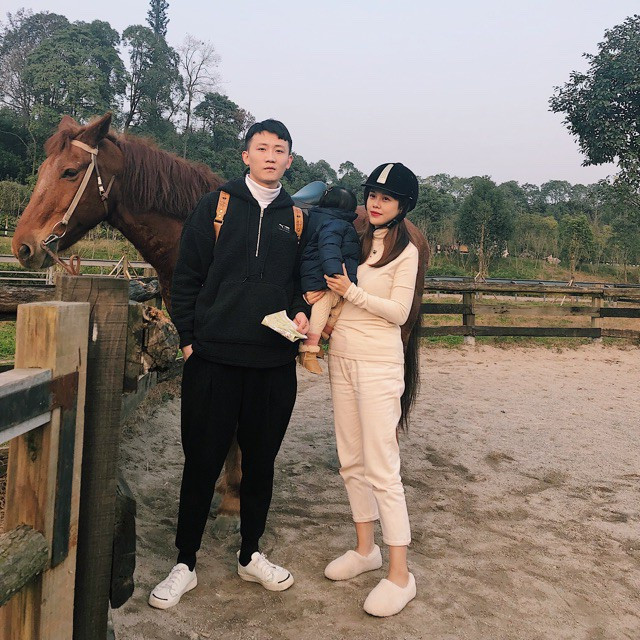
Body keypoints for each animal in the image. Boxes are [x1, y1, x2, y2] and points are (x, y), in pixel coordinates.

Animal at [12, 112, 430, 521]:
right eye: (44, 168)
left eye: (70, 171)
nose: (23, 246)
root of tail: (414, 231)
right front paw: (226, 489)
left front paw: (233, 495)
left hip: (398, 331)